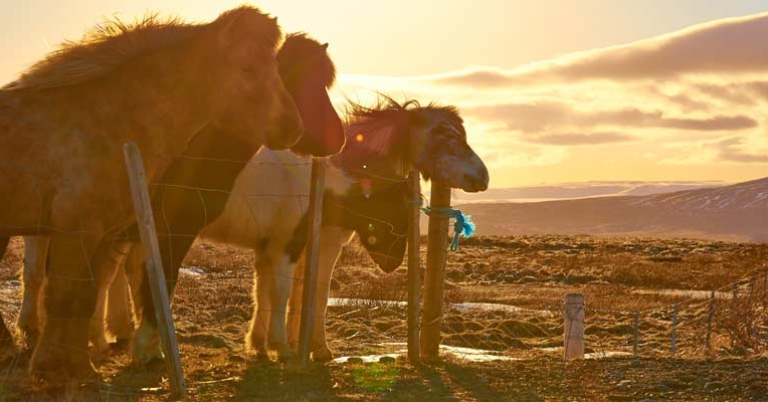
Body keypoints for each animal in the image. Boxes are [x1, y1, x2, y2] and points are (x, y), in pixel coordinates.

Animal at [0, 6, 305, 381]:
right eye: (247, 67)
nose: (293, 128)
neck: (104, 123)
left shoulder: (104, 234)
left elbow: (84, 298)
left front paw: (81, 369)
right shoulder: (77, 231)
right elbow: (63, 295)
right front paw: (49, 369)